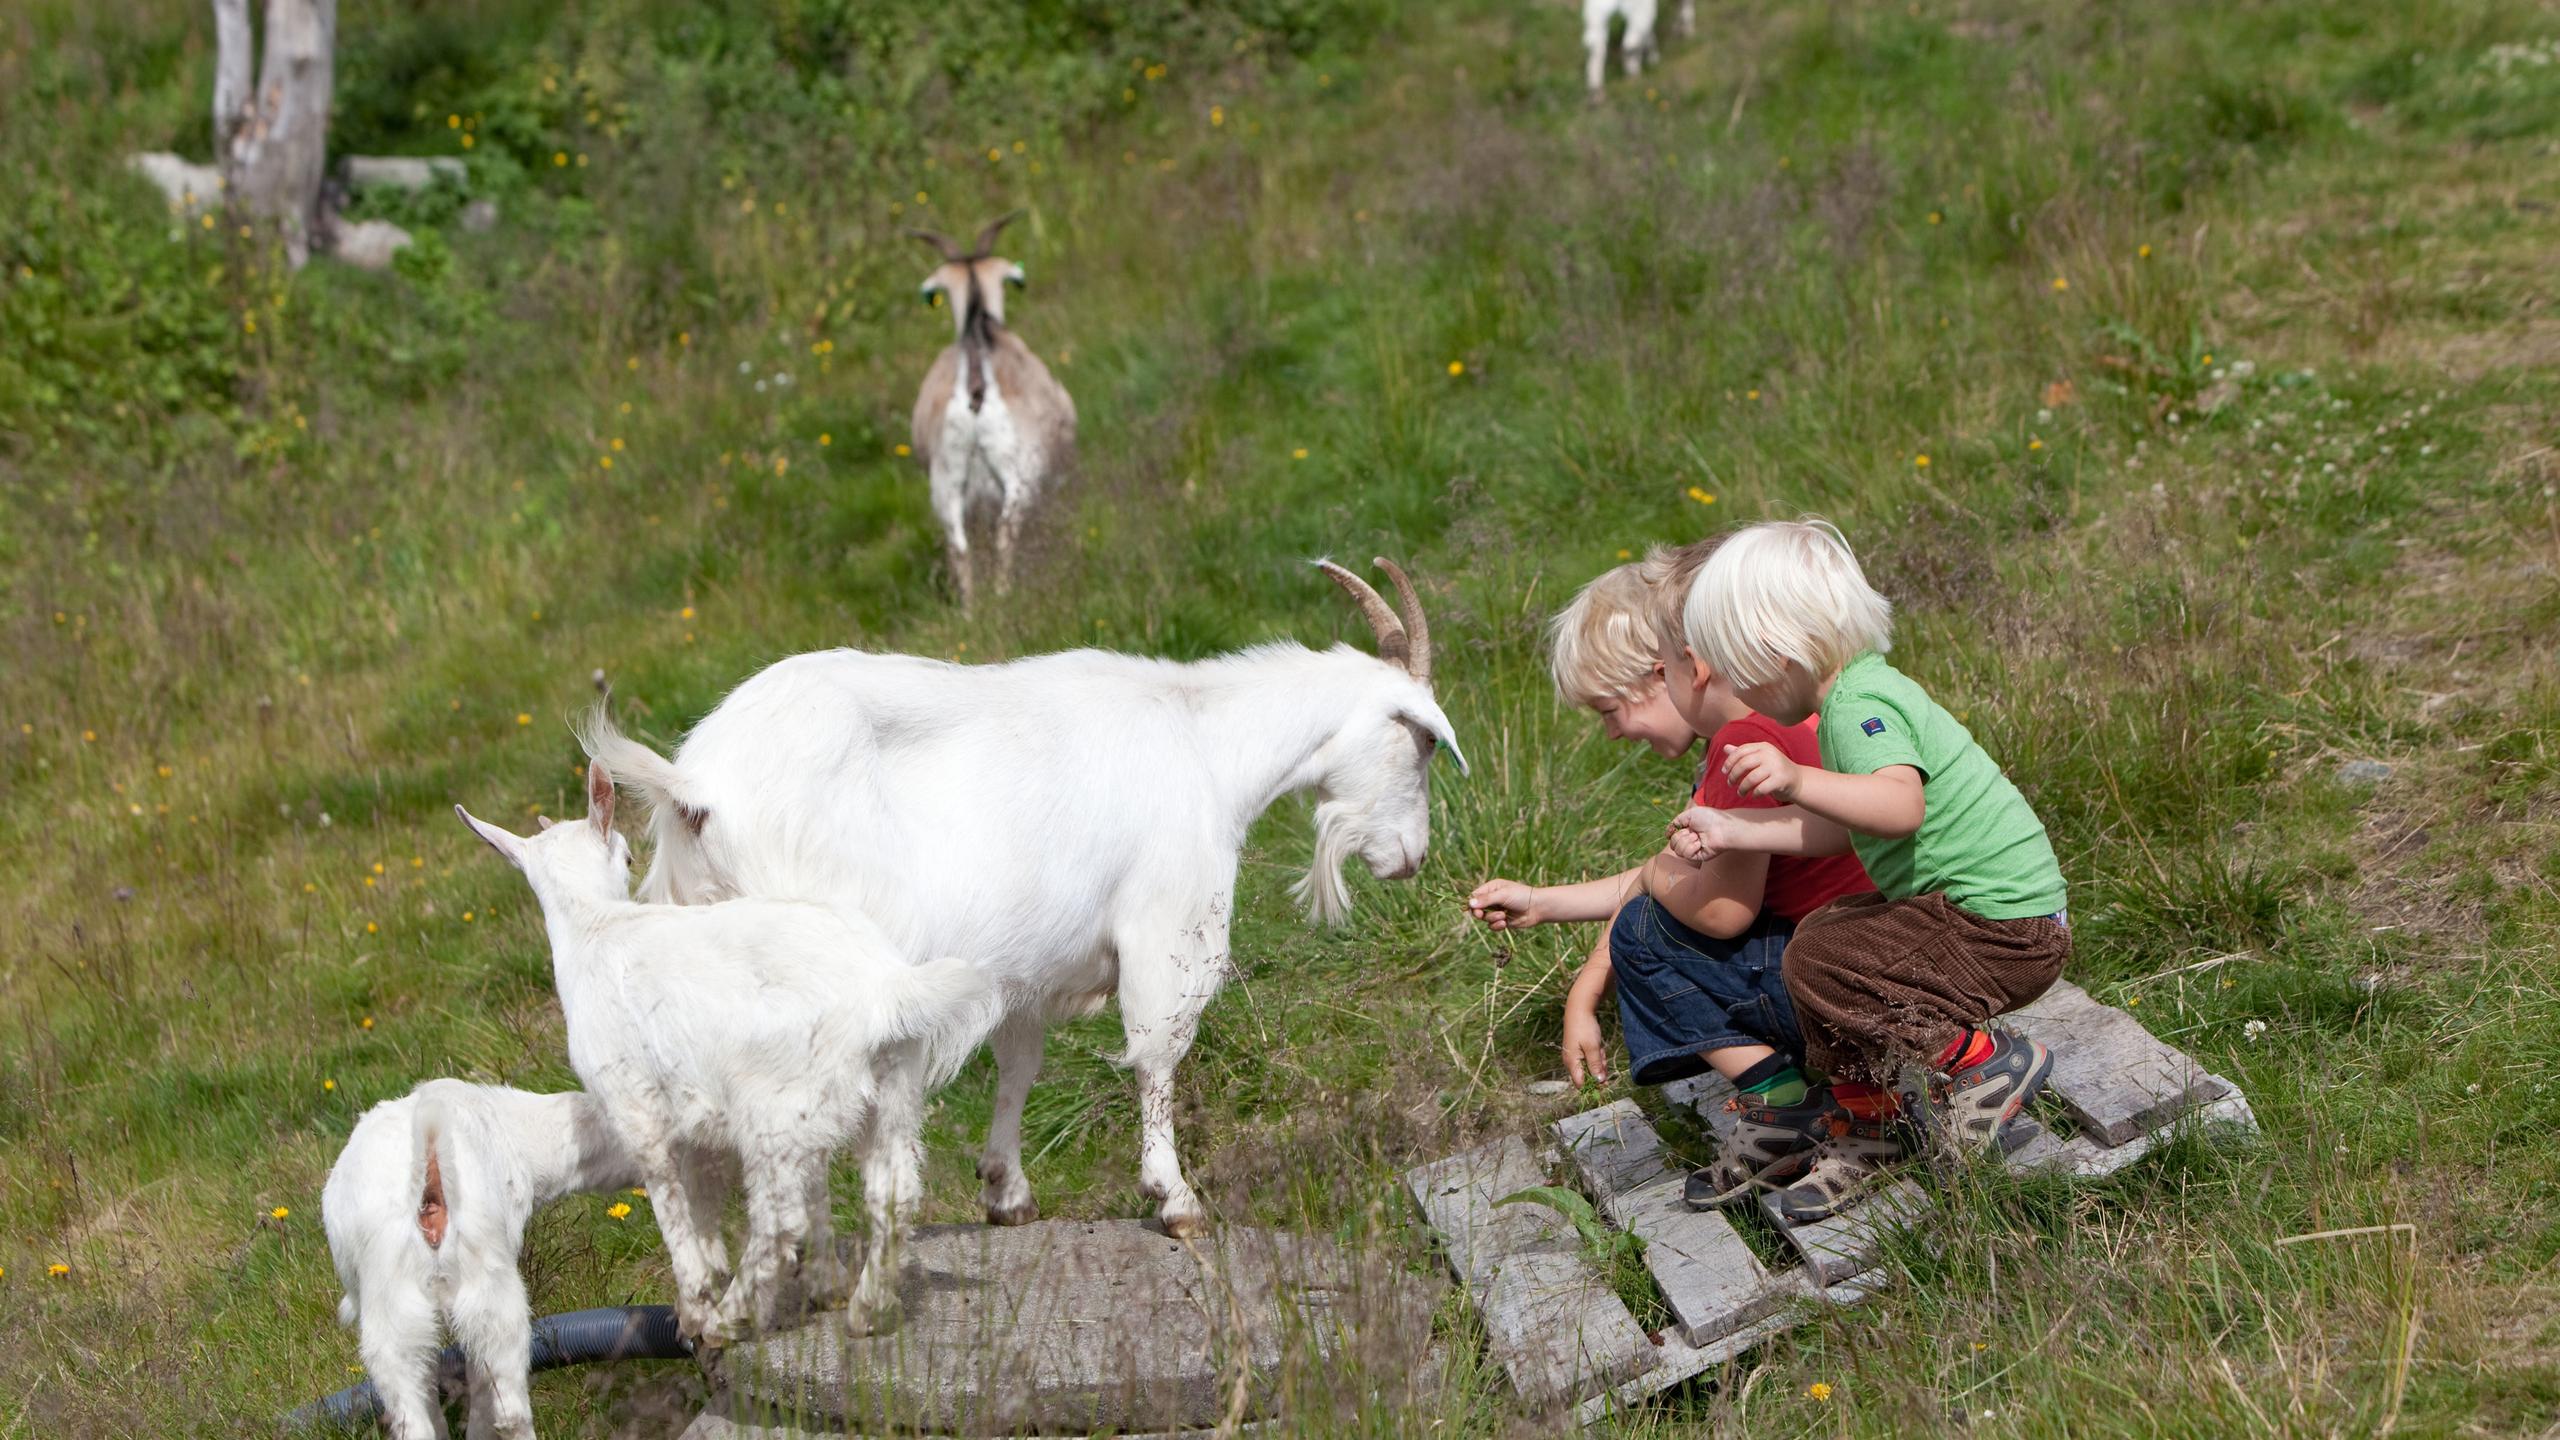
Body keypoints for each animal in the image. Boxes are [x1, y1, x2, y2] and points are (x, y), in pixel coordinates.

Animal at [455, 764, 998, 1345]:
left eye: (626, 857)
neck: (596, 928)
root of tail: (887, 989)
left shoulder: (635, 1105)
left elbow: (671, 1197)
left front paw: (695, 1307)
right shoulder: (710, 1115)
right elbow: (735, 1190)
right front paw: (820, 1284)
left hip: (772, 1107)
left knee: (779, 1220)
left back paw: (731, 1316)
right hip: (887, 1086)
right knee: (892, 1193)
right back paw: (864, 1310)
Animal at [579, 559, 1467, 1237]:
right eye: (1423, 739)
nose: (1412, 858)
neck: (1208, 745)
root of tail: (698, 788)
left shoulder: (1028, 960)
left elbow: (1018, 1065)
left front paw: (1006, 1189)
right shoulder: (1169, 923)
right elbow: (1159, 1052)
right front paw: (1174, 1198)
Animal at [909, 212, 1077, 610]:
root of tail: (975, 386)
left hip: (946, 483)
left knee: (959, 546)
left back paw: (970, 611)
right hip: (1019, 472)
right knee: (1006, 529)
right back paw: (1004, 595)